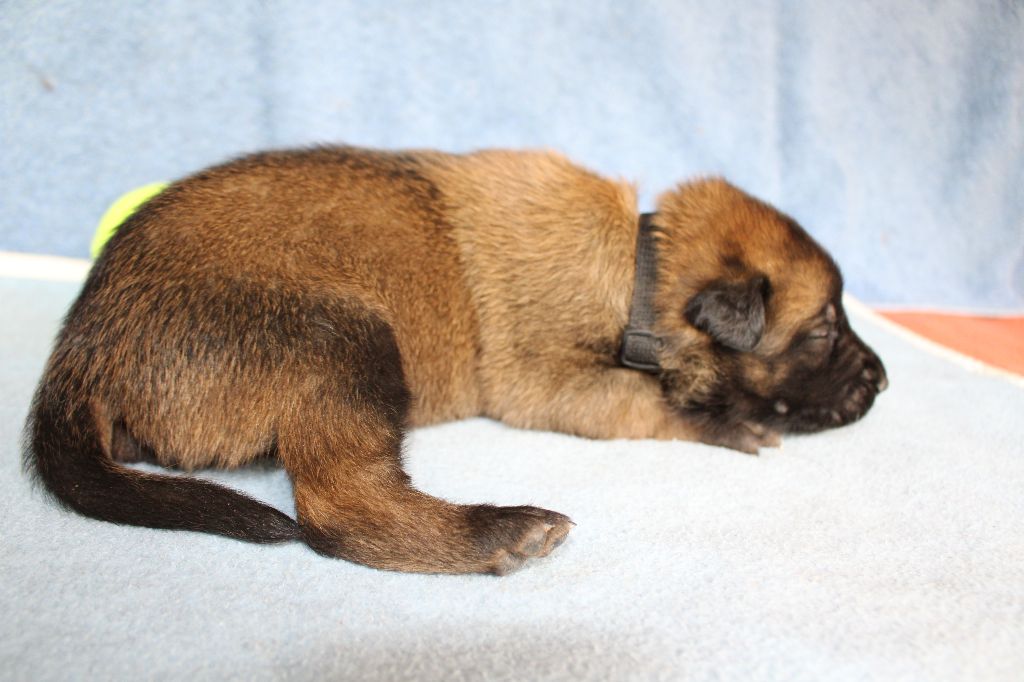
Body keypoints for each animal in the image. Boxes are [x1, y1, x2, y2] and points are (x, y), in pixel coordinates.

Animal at [25, 146, 887, 575]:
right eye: (822, 331)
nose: (882, 380)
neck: (640, 263)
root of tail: (84, 350)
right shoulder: (550, 385)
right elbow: (652, 402)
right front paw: (733, 422)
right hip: (346, 340)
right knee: (342, 511)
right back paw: (500, 532)